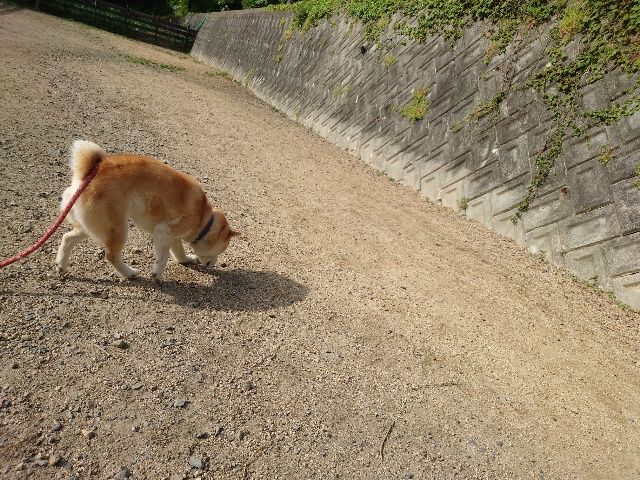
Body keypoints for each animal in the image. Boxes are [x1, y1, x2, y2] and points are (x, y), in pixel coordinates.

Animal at [55, 140, 238, 281]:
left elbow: (179, 253)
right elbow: (163, 258)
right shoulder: (164, 231)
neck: (203, 218)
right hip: (117, 229)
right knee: (111, 256)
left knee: (67, 238)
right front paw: (157, 275)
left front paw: (186, 259)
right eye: (220, 250)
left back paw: (61, 266)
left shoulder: (173, 237)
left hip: (94, 226)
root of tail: (89, 174)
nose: (212, 265)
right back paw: (129, 273)